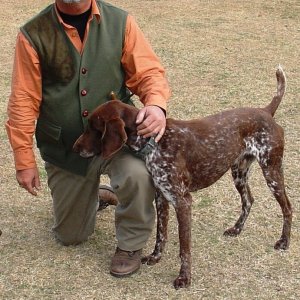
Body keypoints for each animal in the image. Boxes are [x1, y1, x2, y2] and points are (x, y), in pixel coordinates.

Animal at [73, 67, 292, 288]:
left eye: (94, 128)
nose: (75, 148)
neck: (155, 141)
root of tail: (266, 111)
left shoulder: (182, 201)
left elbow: (184, 247)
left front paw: (184, 277)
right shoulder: (161, 196)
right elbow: (161, 233)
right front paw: (155, 257)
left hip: (271, 172)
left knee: (287, 207)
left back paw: (284, 241)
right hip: (238, 172)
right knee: (248, 200)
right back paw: (237, 229)